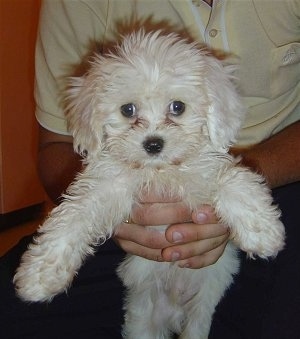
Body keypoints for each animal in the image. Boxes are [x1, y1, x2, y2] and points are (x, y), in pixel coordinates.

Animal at [14, 30, 286, 338]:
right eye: (128, 109)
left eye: (177, 107)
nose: (153, 144)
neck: (160, 174)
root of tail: (175, 312)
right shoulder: (106, 187)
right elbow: (73, 217)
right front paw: (41, 275)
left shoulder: (205, 171)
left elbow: (232, 181)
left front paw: (263, 233)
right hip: (142, 322)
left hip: (200, 314)